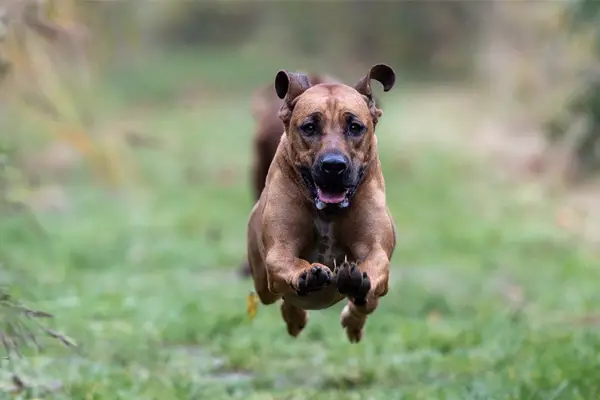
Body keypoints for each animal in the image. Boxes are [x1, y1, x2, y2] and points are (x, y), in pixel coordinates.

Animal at [246, 64, 396, 342]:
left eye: (355, 127)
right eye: (309, 127)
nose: (333, 166)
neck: (329, 213)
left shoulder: (376, 249)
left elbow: (374, 263)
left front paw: (356, 280)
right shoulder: (278, 250)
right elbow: (286, 260)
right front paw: (307, 274)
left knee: (367, 302)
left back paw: (353, 320)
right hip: (262, 283)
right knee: (279, 296)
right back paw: (295, 317)